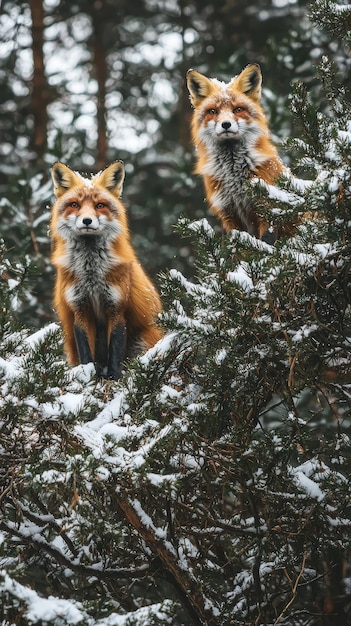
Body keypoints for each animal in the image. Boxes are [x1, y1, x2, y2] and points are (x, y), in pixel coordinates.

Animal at [50, 158, 163, 378]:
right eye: (74, 205)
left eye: (99, 205)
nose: (87, 220)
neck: (91, 273)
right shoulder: (80, 309)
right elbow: (86, 352)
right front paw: (88, 377)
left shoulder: (116, 307)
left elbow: (115, 350)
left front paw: (114, 377)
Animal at [187, 63, 288, 239]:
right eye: (213, 111)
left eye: (238, 109)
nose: (226, 124)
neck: (233, 173)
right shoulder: (228, 212)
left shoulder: (268, 207)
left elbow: (266, 242)